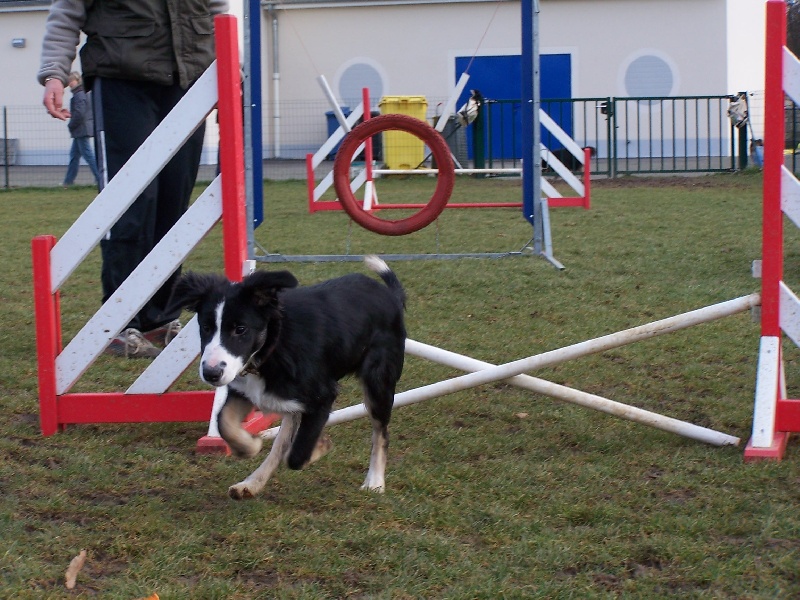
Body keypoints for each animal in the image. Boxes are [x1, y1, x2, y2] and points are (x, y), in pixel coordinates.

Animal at [169, 255, 406, 500]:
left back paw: (375, 481)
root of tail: (390, 295)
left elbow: (297, 455)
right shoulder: (244, 390)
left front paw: (321, 445)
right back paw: (251, 484)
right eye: (206, 327)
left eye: (240, 329)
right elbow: (224, 421)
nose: (211, 373)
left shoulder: (322, 397)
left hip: (378, 382)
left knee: (380, 432)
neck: (273, 343)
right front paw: (249, 447)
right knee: (281, 441)